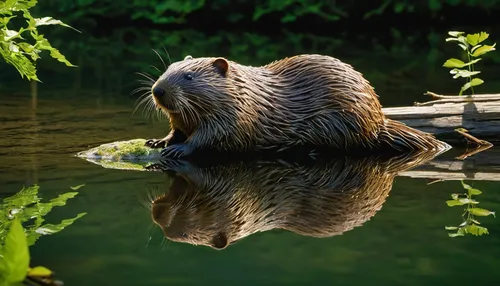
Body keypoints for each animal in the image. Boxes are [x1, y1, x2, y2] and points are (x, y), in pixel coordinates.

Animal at [143, 53, 452, 156]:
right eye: (168, 68)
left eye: (189, 75)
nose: (158, 90)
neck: (247, 91)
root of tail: (379, 122)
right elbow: (177, 130)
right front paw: (158, 141)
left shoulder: (239, 115)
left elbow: (214, 137)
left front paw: (179, 149)